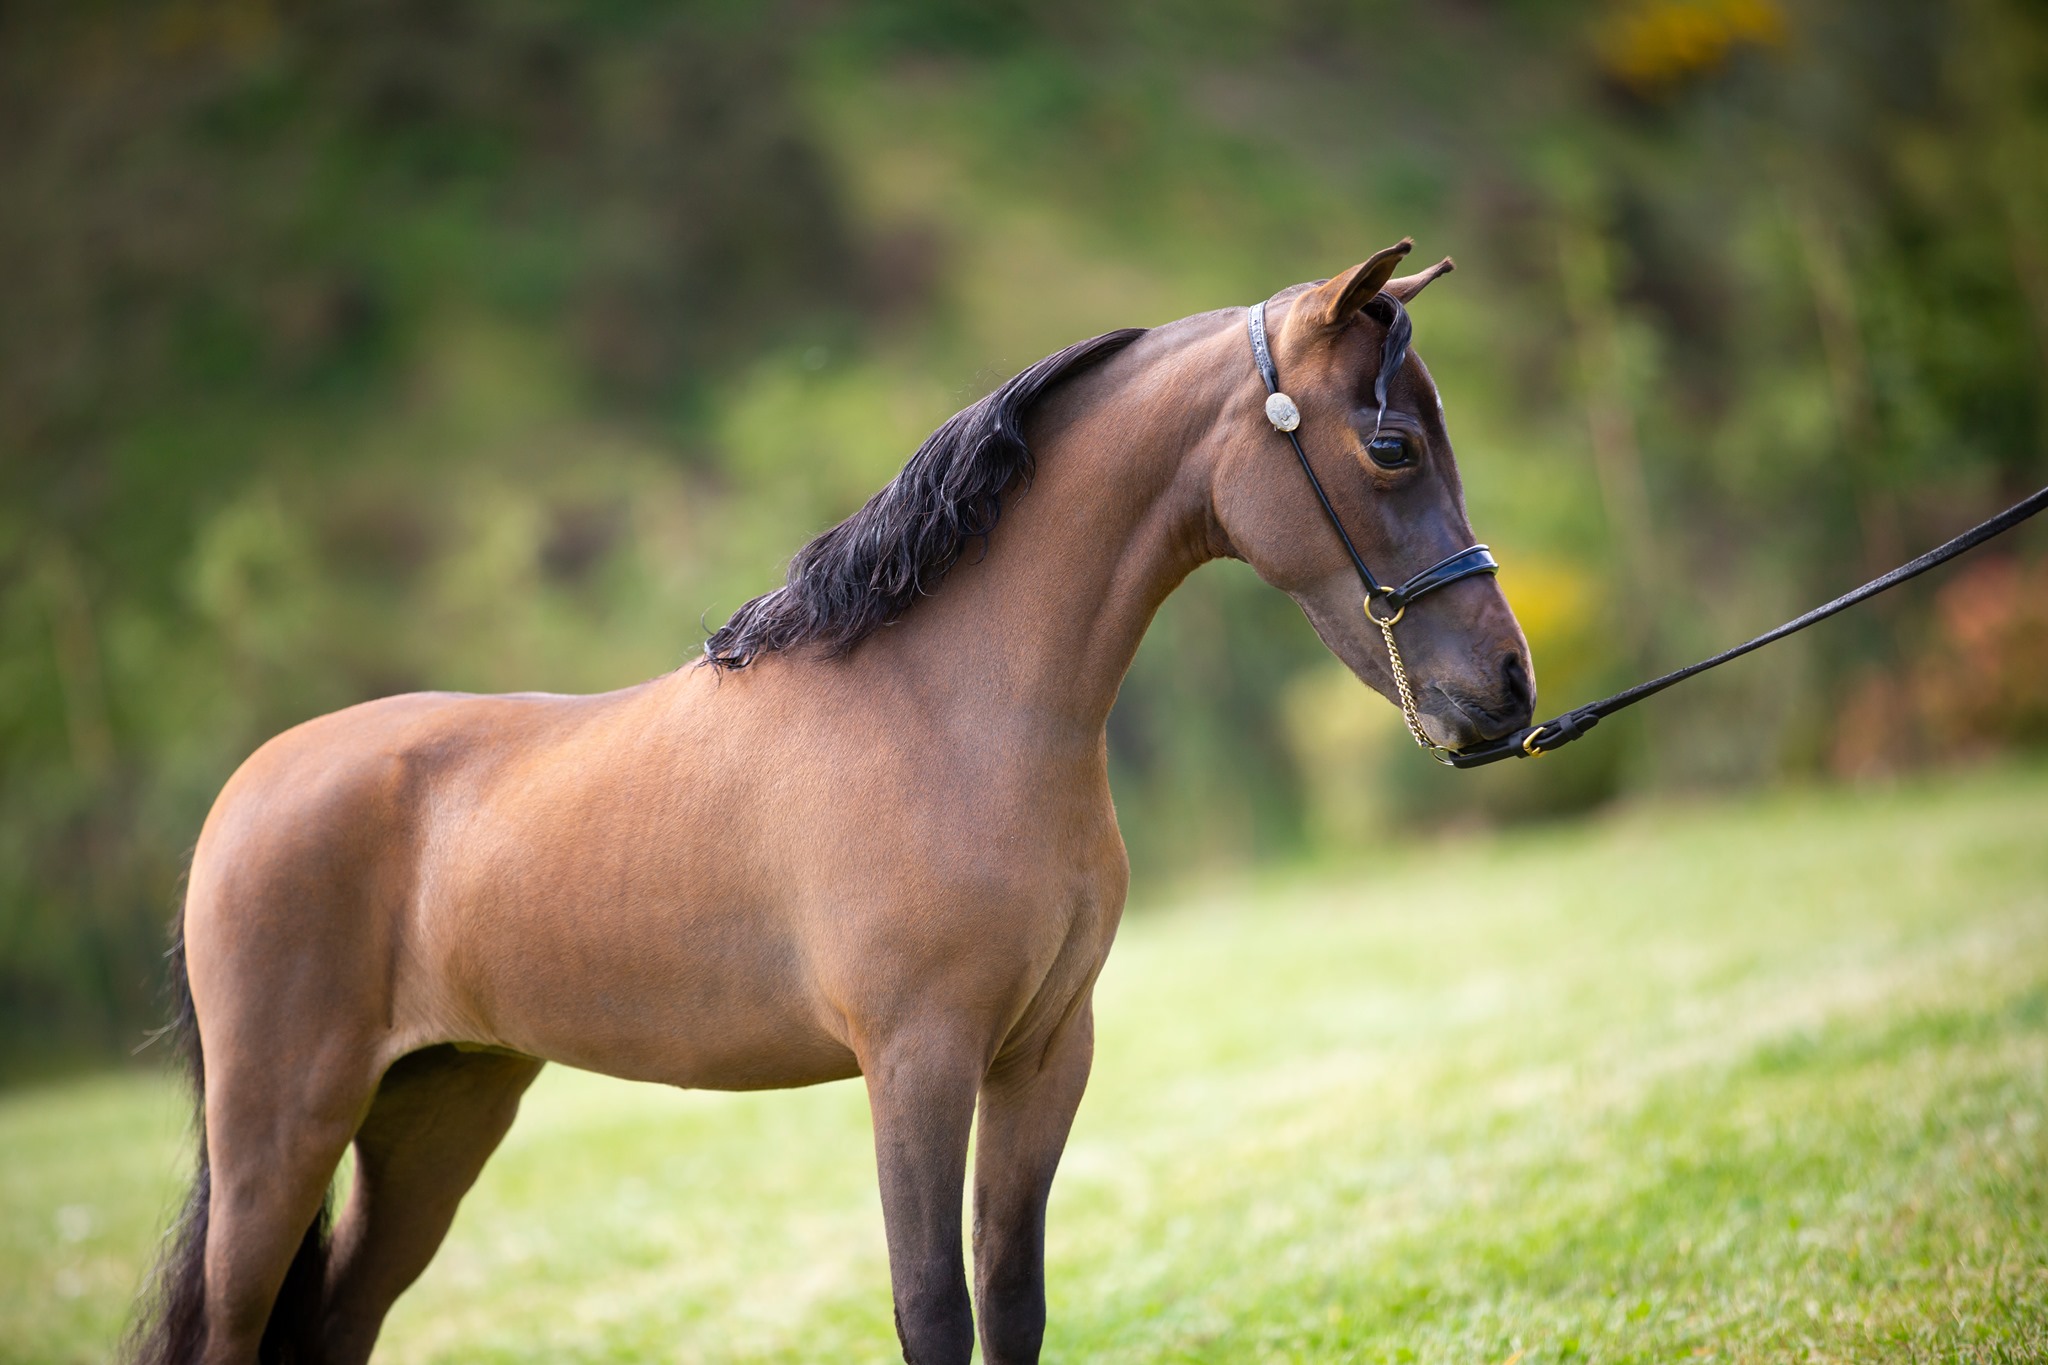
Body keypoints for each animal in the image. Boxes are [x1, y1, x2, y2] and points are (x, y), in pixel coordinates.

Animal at [126, 238, 1535, 1365]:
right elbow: (931, 1310)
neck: (950, 710)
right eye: (1391, 445)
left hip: (437, 1114)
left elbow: (1009, 1302)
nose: (1505, 689)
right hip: (278, 1142)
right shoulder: (915, 1061)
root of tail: (249, 789)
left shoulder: (1042, 1055)